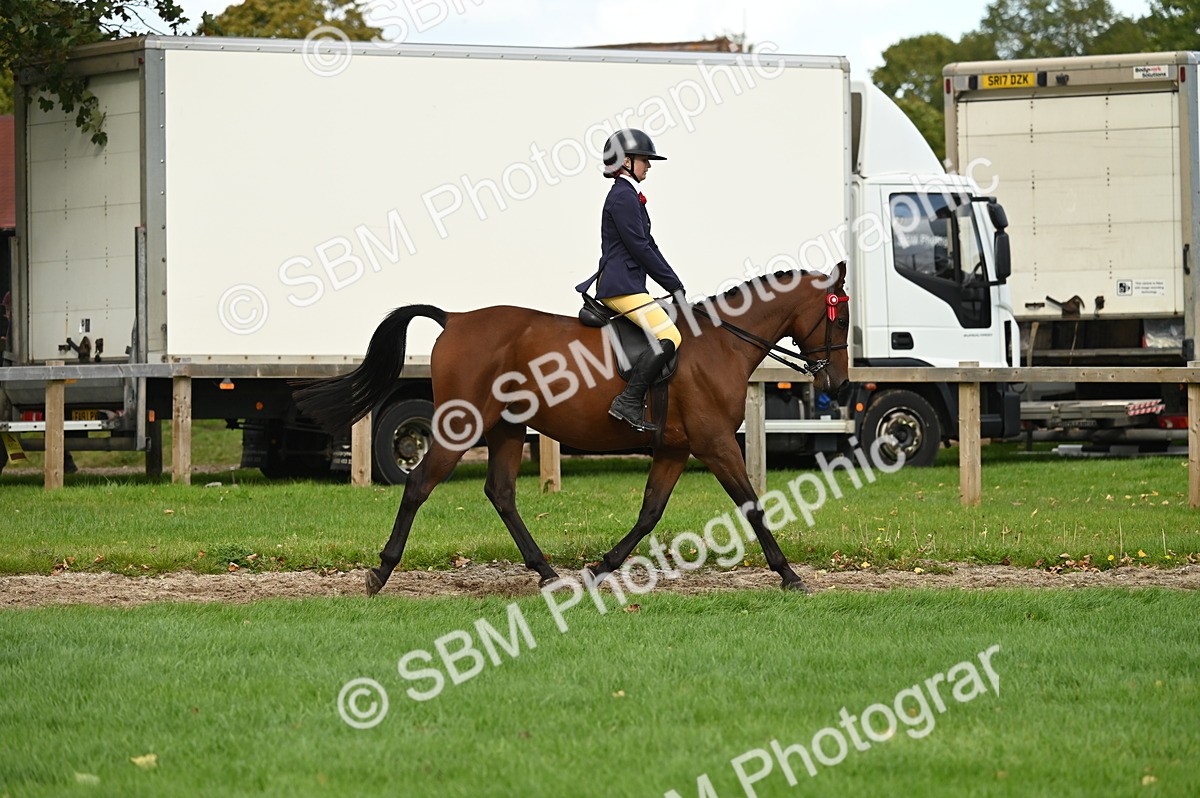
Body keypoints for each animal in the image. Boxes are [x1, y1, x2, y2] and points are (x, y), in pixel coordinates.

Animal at [293, 267, 851, 594]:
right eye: (840, 320)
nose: (841, 385)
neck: (721, 344)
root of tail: (455, 319)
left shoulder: (675, 449)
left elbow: (649, 512)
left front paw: (602, 567)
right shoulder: (714, 445)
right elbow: (752, 505)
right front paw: (789, 575)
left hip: (507, 429)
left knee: (501, 493)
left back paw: (546, 571)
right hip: (460, 426)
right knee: (419, 485)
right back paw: (381, 572)